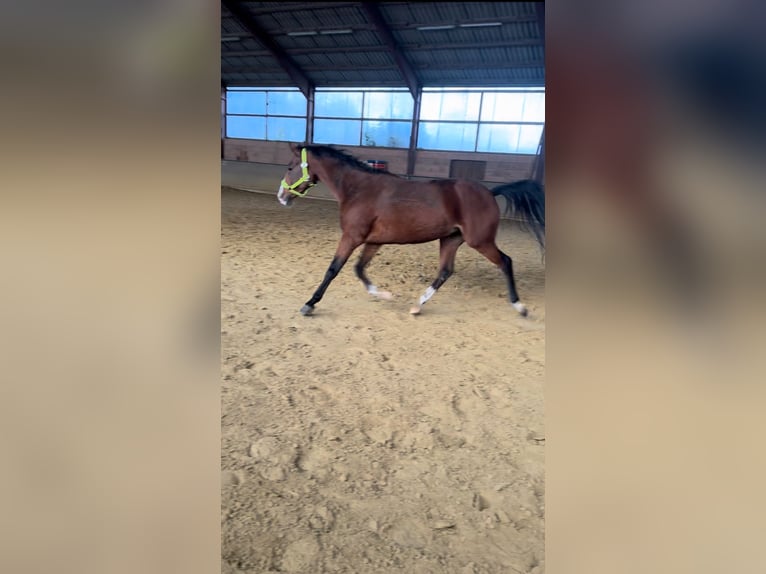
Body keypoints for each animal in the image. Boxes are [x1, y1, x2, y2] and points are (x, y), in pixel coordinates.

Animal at [276, 142, 544, 318]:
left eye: (290, 167)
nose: (281, 197)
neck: (359, 189)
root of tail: (490, 192)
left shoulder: (352, 237)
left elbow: (334, 269)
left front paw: (310, 304)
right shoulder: (373, 241)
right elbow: (359, 269)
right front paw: (384, 295)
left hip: (480, 240)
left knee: (505, 262)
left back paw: (519, 306)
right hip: (450, 239)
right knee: (445, 271)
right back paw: (417, 305)